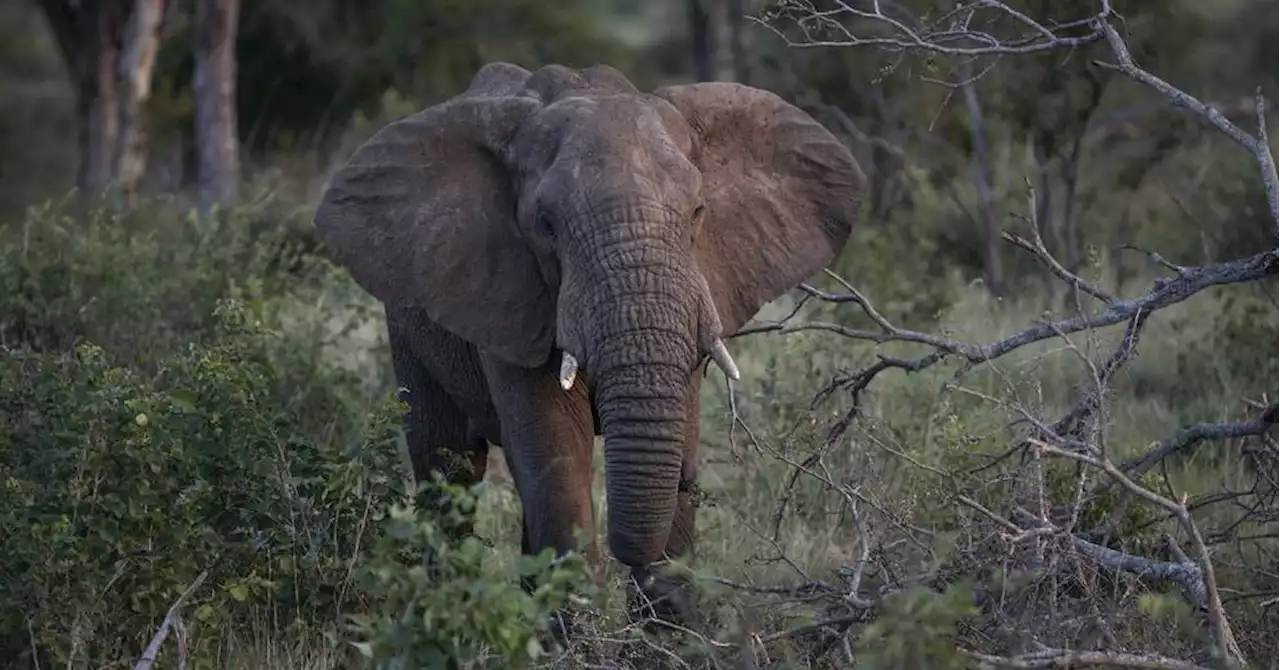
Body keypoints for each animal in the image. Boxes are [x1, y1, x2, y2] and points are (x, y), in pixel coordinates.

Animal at [312, 60, 870, 632]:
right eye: (546, 225)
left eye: (697, 212)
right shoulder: (516, 296)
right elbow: (556, 451)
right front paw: (578, 636)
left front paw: (671, 636)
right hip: (407, 320)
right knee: (448, 466)